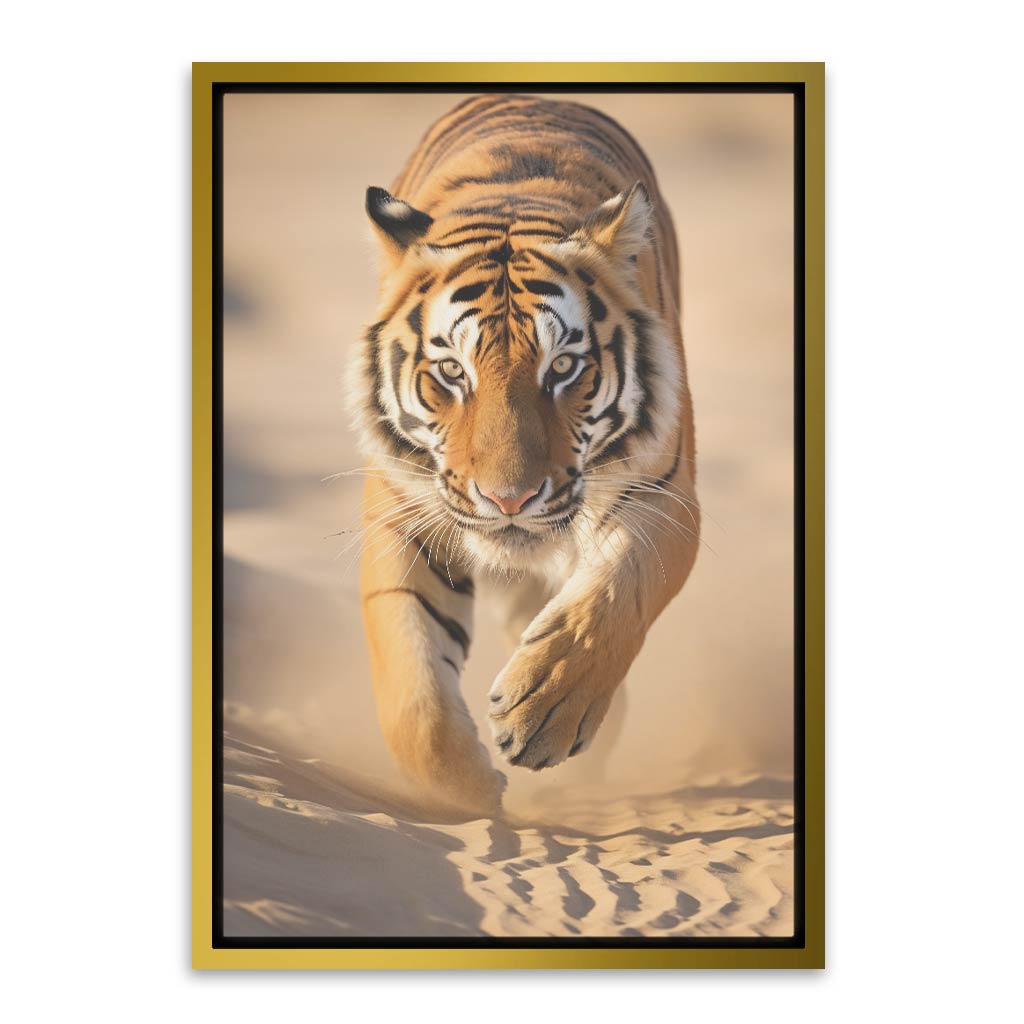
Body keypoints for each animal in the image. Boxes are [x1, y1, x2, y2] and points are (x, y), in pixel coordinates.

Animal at [348, 94, 699, 815]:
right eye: (452, 372)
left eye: (562, 367)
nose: (508, 499)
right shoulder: (402, 515)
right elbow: (412, 691)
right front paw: (472, 790)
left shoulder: (665, 495)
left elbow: (612, 598)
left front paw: (545, 712)